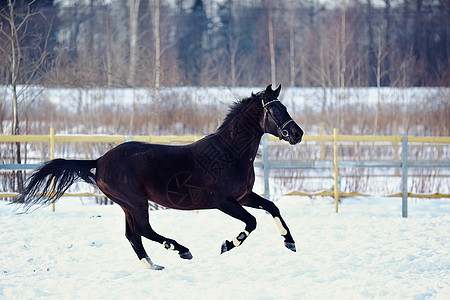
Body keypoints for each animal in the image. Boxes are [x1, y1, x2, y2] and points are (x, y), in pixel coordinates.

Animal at [16, 84, 302, 270]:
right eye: (276, 111)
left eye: (285, 107)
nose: (297, 134)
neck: (228, 154)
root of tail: (99, 161)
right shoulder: (223, 201)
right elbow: (252, 222)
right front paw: (227, 245)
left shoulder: (243, 196)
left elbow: (272, 207)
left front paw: (290, 242)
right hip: (135, 201)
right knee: (143, 230)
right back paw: (181, 250)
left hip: (127, 204)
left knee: (133, 235)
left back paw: (153, 265)